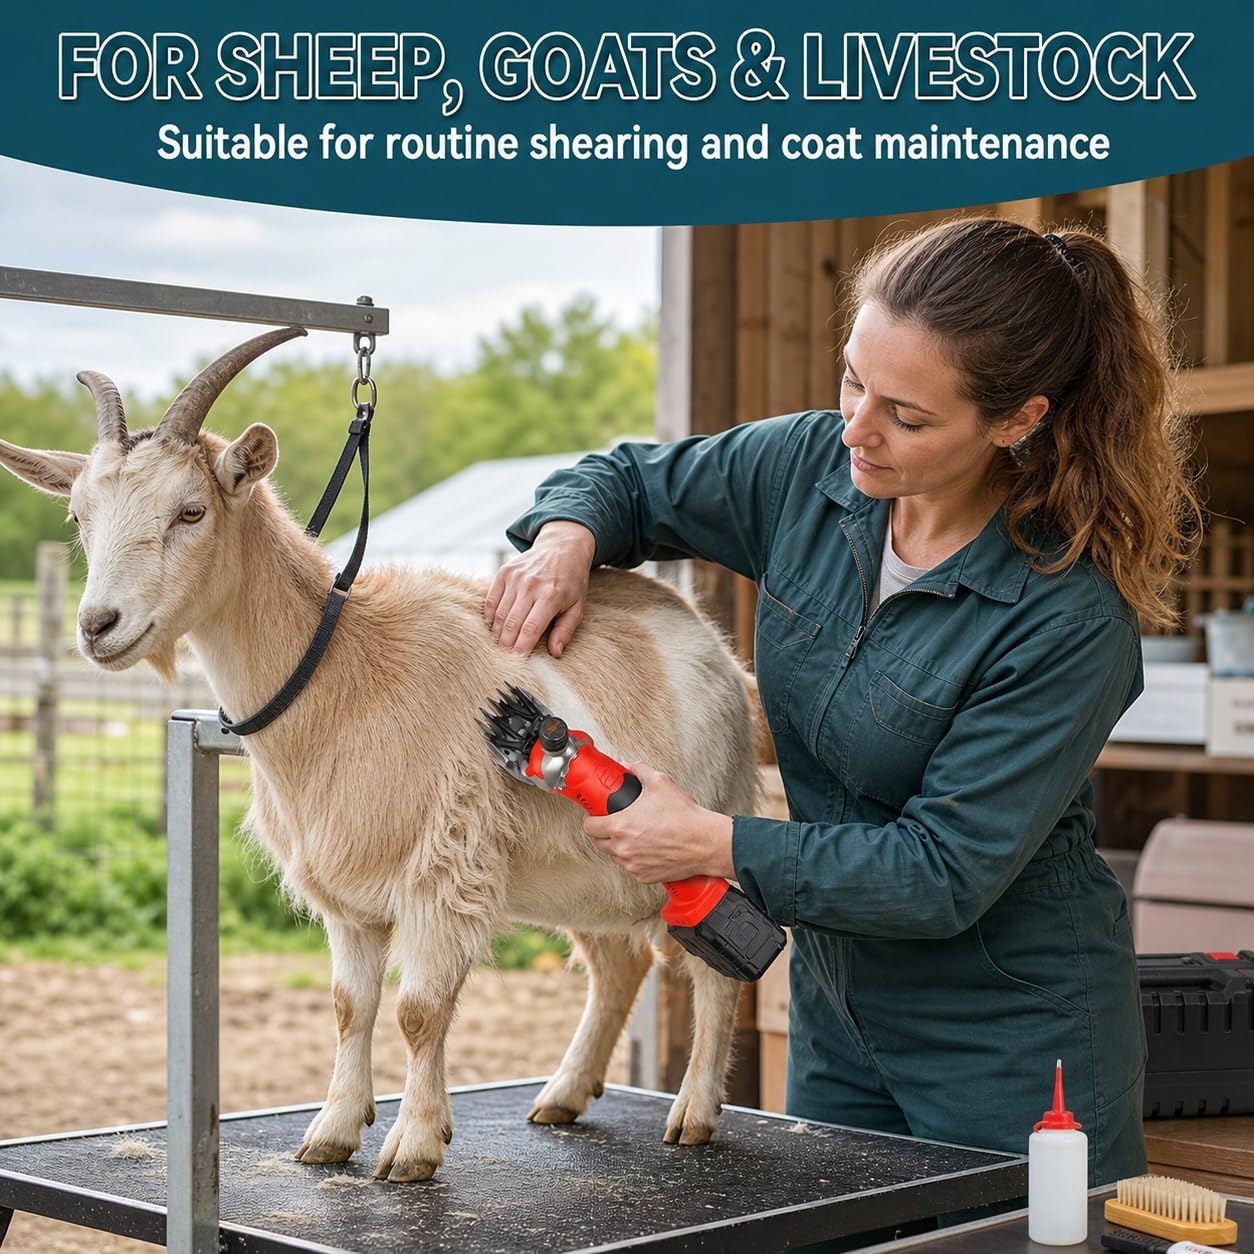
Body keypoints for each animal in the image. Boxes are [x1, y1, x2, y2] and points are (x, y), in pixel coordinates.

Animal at [0, 326, 760, 1183]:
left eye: (190, 511)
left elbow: (419, 1010)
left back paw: (693, 1112)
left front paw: (414, 1147)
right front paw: (332, 1133)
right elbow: (348, 1006)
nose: (98, 626)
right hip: (590, 864)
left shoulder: (443, 870)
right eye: (78, 515)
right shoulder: (348, 892)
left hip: (694, 833)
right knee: (616, 966)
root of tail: (715, 647)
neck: (347, 673)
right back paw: (564, 1094)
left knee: (714, 969)